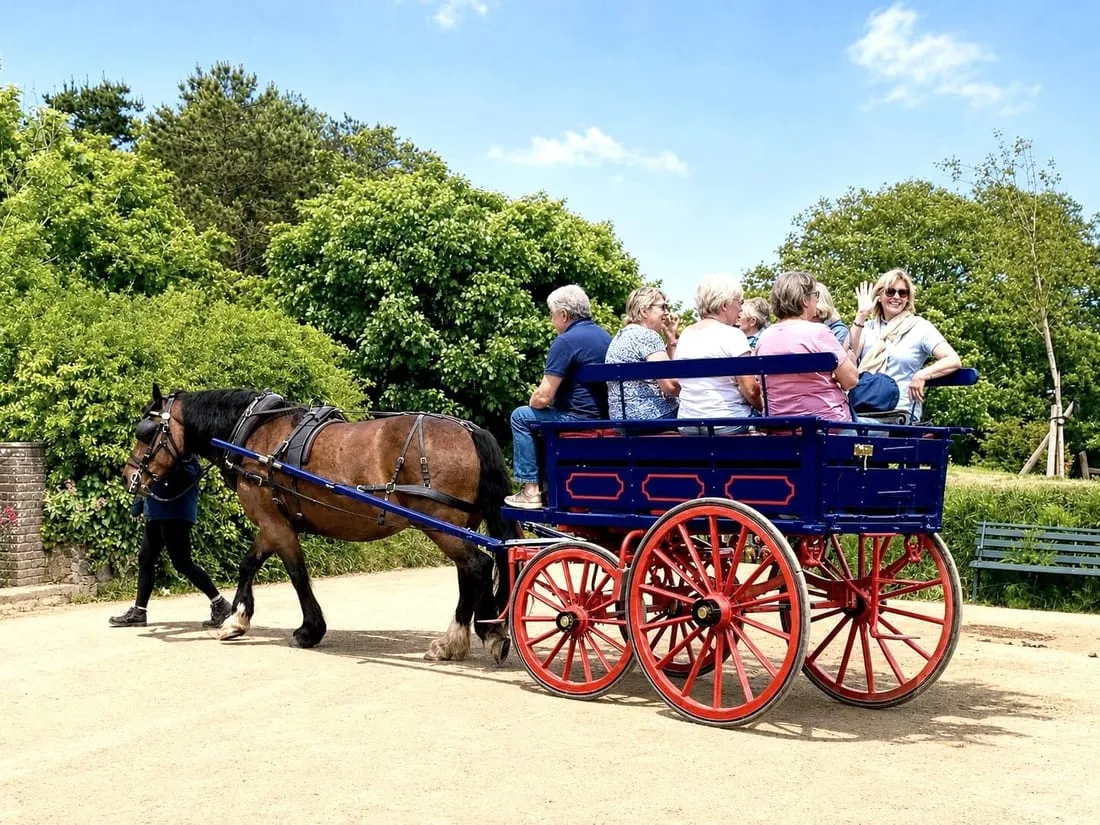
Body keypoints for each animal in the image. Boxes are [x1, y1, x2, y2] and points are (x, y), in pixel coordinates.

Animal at [122, 384, 514, 663]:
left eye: (146, 432)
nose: (129, 477)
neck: (254, 433)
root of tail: (470, 430)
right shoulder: (272, 523)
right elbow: (249, 564)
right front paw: (236, 620)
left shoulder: (274, 524)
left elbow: (296, 575)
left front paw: (309, 630)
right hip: (455, 525)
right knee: (469, 571)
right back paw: (467, 637)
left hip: (439, 522)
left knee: (477, 566)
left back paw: (467, 639)